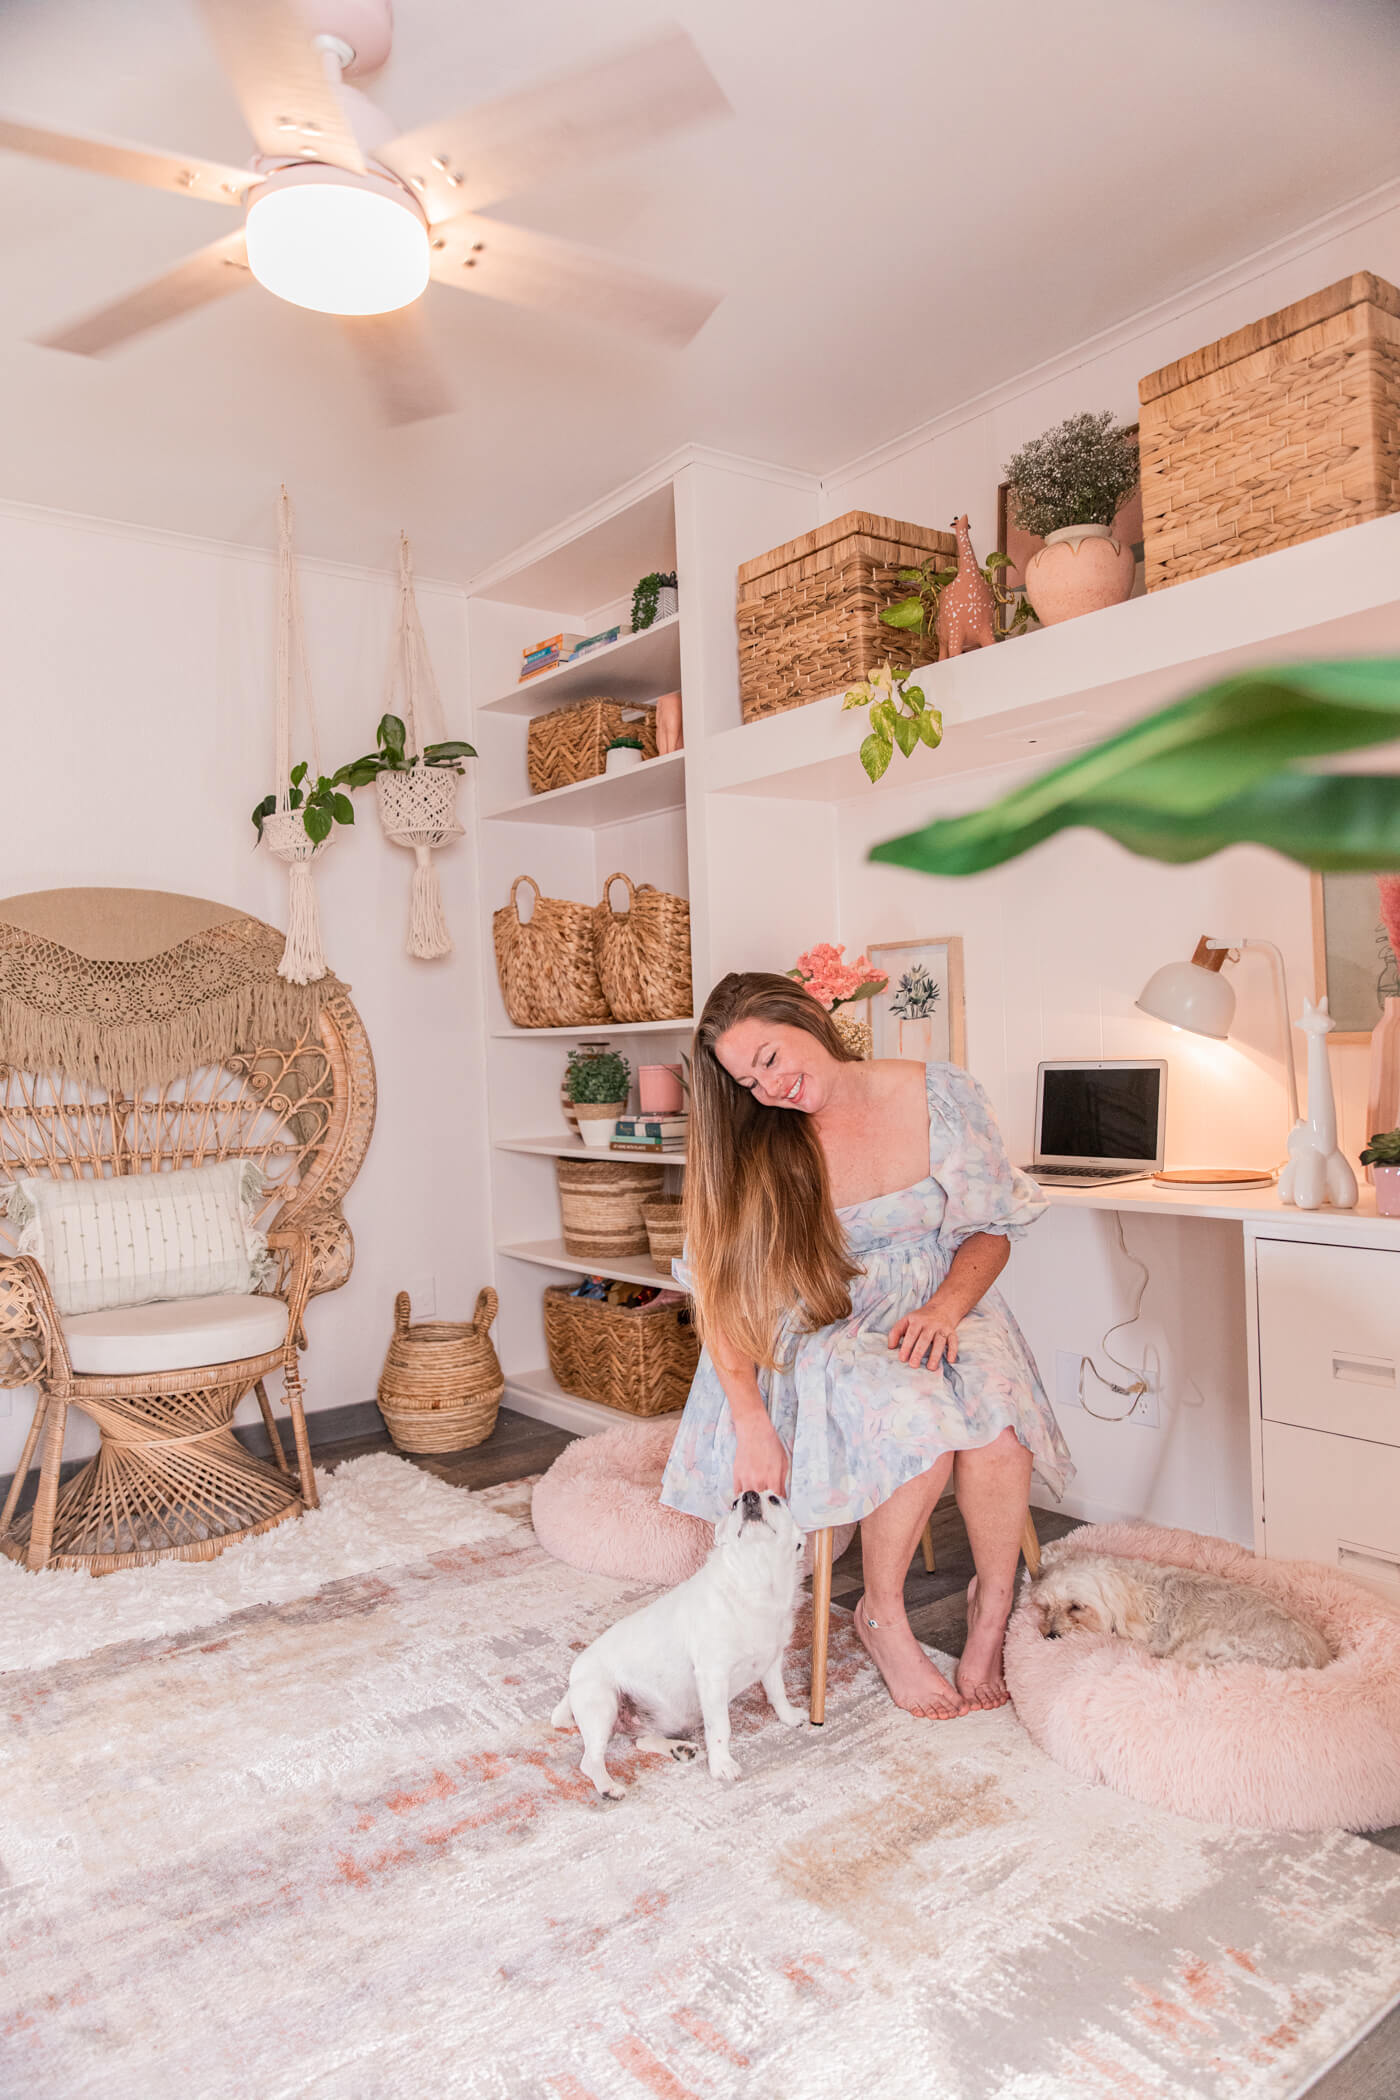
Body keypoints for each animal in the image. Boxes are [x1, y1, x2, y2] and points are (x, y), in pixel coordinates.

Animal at [549, 1486, 805, 1797]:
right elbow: (720, 1727)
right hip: (603, 1703)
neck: (755, 1584)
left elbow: (778, 1693)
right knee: (590, 1760)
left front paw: (790, 1717)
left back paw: (680, 1749)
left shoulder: (772, 1660)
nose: (749, 1496)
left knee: (641, 1740)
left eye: (774, 1499)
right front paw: (722, 1766)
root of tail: (572, 1684)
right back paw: (609, 1786)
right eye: (734, 1504)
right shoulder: (713, 1675)